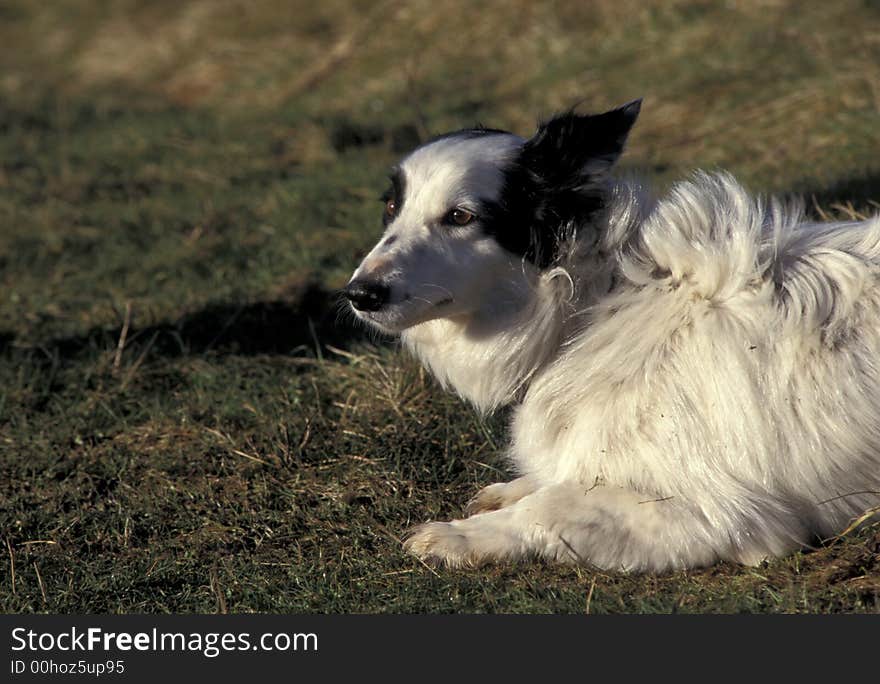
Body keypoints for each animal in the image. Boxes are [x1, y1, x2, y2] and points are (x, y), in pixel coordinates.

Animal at [342, 100, 880, 572]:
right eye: (391, 206)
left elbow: (547, 509)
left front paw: (460, 536)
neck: (594, 307)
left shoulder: (715, 511)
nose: (359, 294)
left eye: (460, 216)